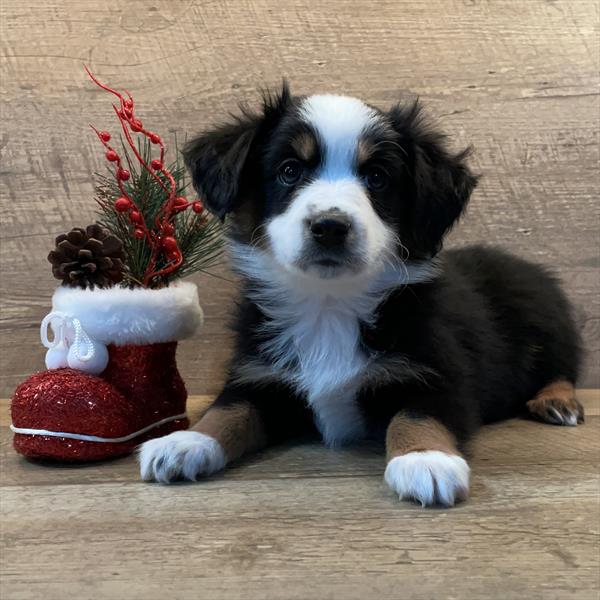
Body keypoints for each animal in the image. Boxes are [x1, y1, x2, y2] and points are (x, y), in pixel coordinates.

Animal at [137, 84, 580, 506]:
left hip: (546, 319)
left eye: (378, 177)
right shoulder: (259, 374)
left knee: (562, 366)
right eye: (289, 171)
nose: (330, 227)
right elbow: (229, 409)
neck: (329, 304)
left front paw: (425, 460)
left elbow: (417, 414)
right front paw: (186, 441)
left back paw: (557, 402)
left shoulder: (441, 372)